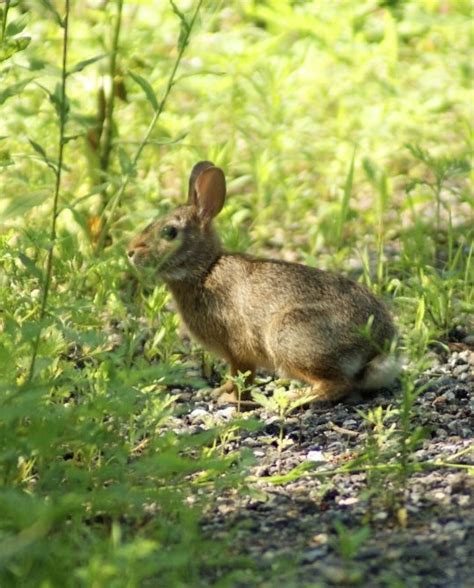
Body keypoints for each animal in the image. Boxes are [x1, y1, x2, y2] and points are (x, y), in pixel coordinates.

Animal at [128, 163, 398, 406]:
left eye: (169, 232)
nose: (130, 252)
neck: (205, 269)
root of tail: (378, 347)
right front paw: (218, 392)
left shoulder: (237, 346)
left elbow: (242, 375)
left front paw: (230, 399)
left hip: (289, 337)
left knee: (337, 384)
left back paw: (297, 398)